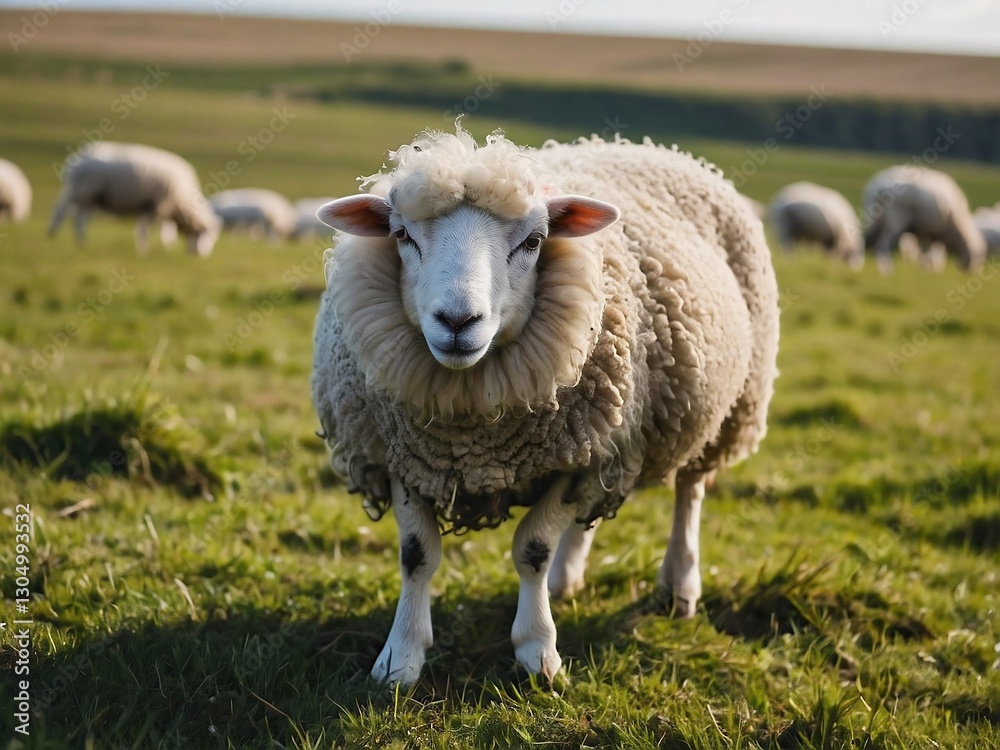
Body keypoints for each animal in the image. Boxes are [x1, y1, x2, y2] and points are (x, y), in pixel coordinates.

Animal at [49, 142, 219, 256]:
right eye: (207, 235)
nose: (201, 256)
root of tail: (78, 157)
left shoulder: (156, 207)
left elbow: (161, 228)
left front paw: (166, 245)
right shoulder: (156, 205)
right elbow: (147, 230)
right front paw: (144, 250)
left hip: (89, 197)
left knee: (79, 218)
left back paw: (81, 241)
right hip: (80, 191)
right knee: (61, 211)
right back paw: (53, 235)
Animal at [311, 126, 780, 686]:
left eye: (534, 242)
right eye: (401, 235)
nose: (457, 321)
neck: (474, 436)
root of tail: (643, 143)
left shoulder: (573, 460)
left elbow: (532, 549)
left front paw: (538, 652)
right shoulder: (398, 454)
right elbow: (416, 556)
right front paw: (399, 660)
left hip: (722, 409)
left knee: (690, 491)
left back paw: (680, 588)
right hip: (605, 445)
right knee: (593, 515)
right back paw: (568, 580)